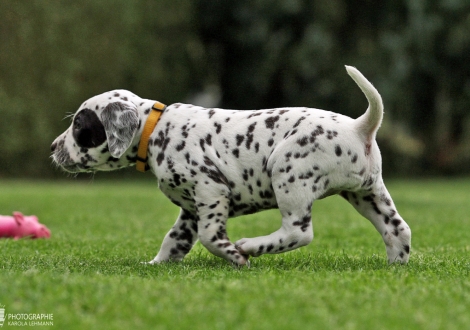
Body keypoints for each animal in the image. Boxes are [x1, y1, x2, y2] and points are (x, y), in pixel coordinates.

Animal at [51, 66, 412, 266]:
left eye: (79, 125)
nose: (53, 148)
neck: (155, 130)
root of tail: (360, 126)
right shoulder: (190, 210)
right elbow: (173, 240)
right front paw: (155, 264)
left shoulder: (210, 192)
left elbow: (211, 237)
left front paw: (235, 256)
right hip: (368, 194)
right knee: (398, 229)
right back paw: (396, 265)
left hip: (289, 175)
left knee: (299, 232)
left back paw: (251, 246)